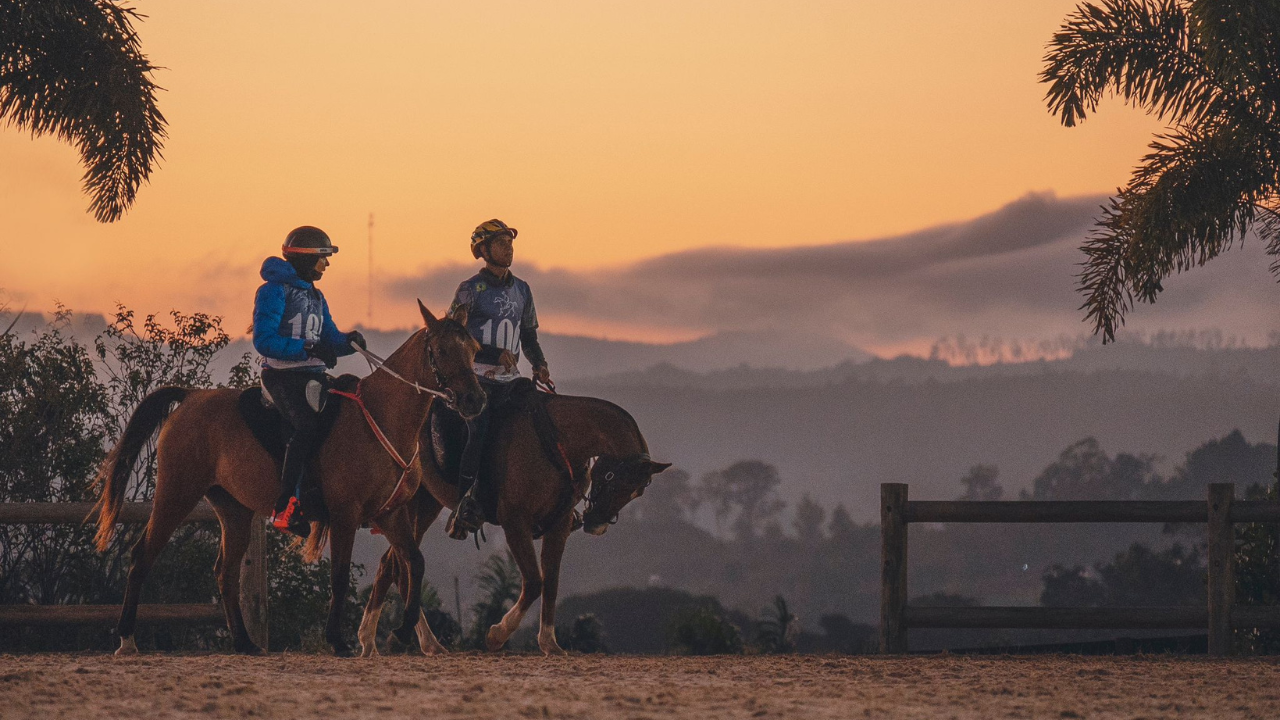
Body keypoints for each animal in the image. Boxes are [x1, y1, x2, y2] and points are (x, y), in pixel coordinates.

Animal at [92, 299, 483, 653]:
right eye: (442, 349)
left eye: (474, 349)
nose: (474, 400)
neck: (381, 418)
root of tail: (188, 398)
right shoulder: (345, 515)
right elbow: (341, 575)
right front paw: (337, 640)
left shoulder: (390, 513)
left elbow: (413, 563)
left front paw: (400, 632)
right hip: (176, 495)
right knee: (142, 556)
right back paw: (126, 641)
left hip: (233, 509)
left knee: (225, 572)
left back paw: (244, 643)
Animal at [353, 389, 665, 653]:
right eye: (614, 479)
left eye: (637, 492)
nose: (597, 525)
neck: (557, 441)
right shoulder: (515, 522)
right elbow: (535, 582)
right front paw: (497, 634)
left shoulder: (559, 524)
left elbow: (551, 582)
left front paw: (549, 643)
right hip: (410, 505)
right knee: (401, 567)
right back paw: (403, 640)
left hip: (427, 502)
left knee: (392, 566)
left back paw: (388, 641)